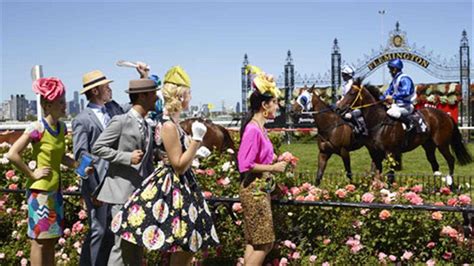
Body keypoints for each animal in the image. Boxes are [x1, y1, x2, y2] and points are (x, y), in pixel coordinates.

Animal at [336, 78, 472, 184]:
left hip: (442, 144)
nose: (338, 108)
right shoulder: (375, 153)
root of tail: (445, 116)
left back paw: (450, 183)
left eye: (352, 93)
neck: (378, 122)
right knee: (435, 165)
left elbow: (389, 175)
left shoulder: (390, 153)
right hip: (428, 146)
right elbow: (376, 173)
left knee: (451, 160)